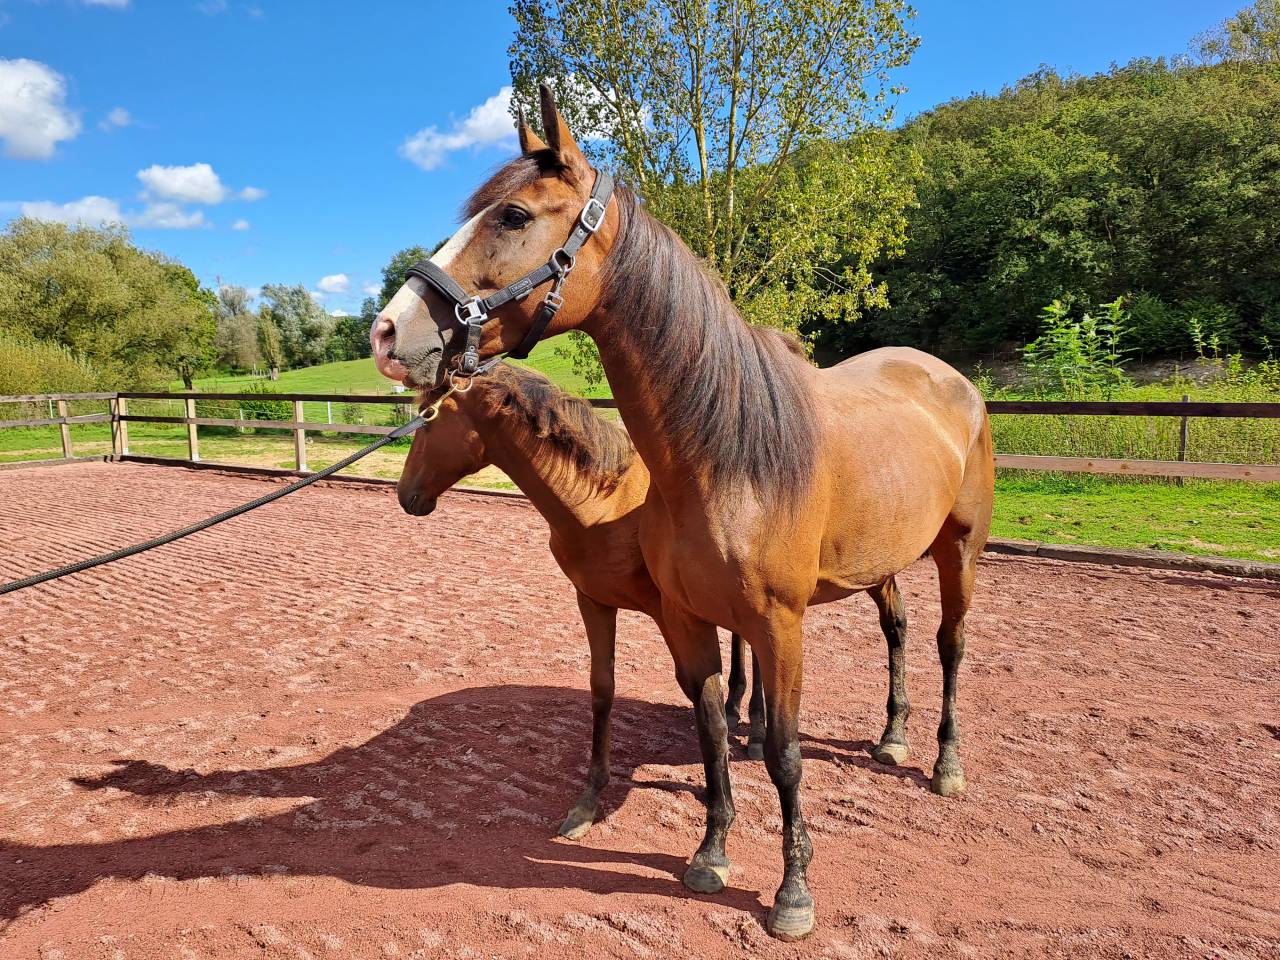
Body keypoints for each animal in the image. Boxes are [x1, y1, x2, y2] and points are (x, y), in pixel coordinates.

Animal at [370, 85, 994, 940]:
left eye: (513, 216)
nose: (388, 331)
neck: (724, 457)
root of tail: (951, 381)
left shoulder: (780, 625)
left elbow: (787, 752)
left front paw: (793, 892)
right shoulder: (689, 618)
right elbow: (707, 728)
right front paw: (710, 852)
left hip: (959, 550)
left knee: (949, 644)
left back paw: (945, 763)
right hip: (883, 559)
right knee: (898, 630)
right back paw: (894, 736)